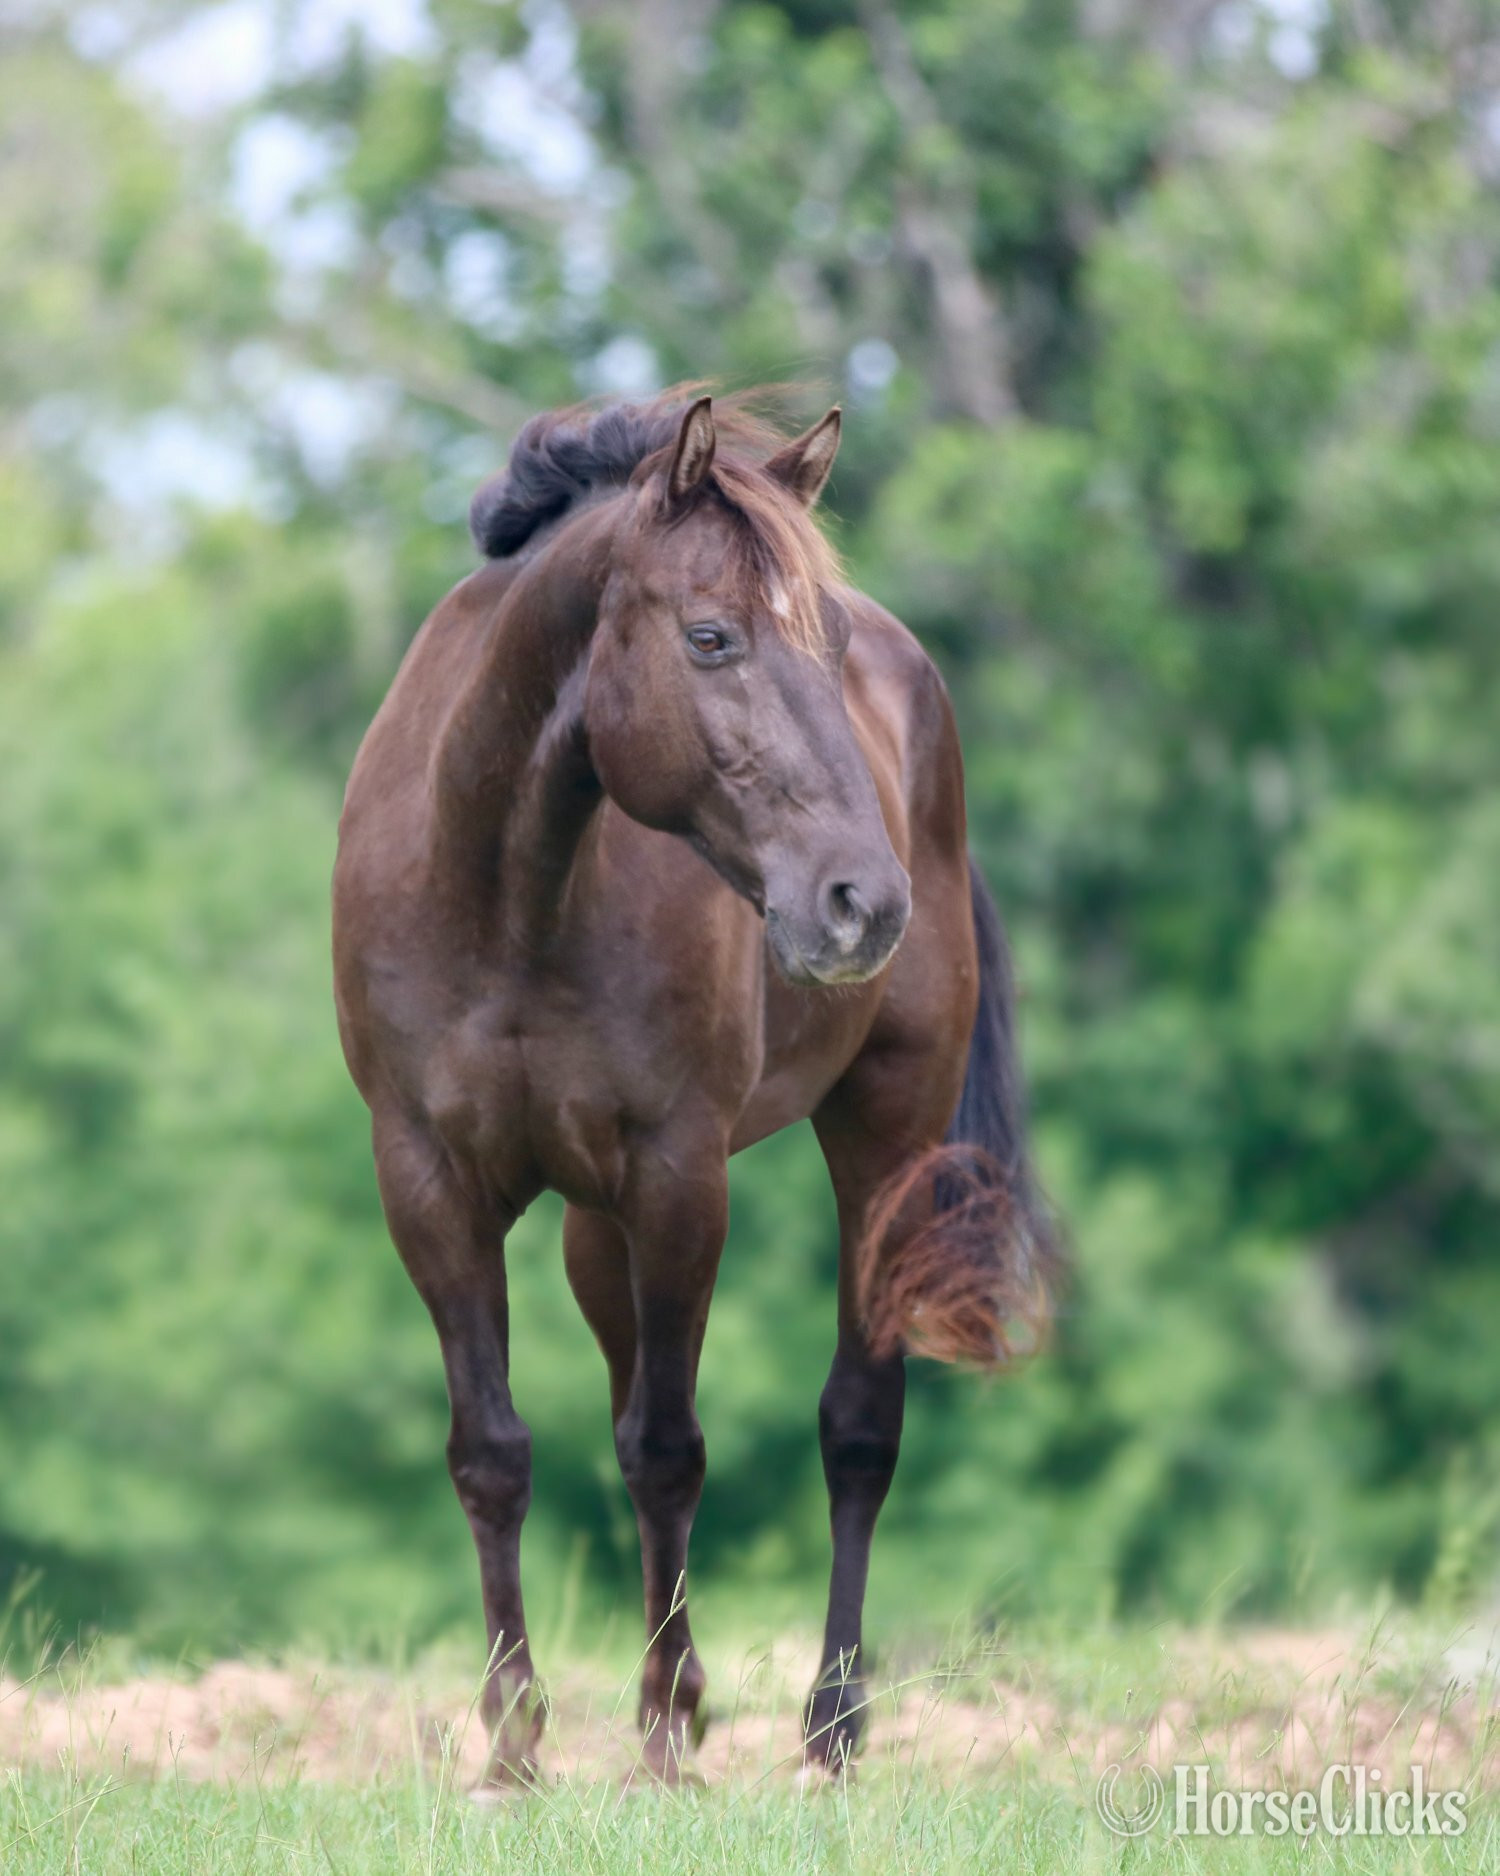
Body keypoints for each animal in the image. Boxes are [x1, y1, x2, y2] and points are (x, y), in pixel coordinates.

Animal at [331, 389, 1056, 1788]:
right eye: (711, 637)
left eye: (828, 647)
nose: (862, 900)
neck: (506, 893)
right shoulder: (427, 1181)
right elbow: (493, 1452)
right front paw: (515, 1747)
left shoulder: (678, 1173)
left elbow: (669, 1452)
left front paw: (668, 1733)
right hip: (591, 1225)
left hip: (881, 1131)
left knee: (858, 1425)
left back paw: (830, 1726)